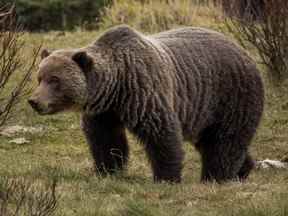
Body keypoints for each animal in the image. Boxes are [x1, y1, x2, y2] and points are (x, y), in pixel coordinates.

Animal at [28, 25, 264, 184]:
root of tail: (244, 51)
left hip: (230, 95)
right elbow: (105, 141)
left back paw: (215, 177)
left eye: (55, 80)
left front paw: (166, 177)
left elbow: (161, 135)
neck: (115, 87)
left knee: (225, 140)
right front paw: (106, 170)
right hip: (204, 113)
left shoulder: (144, 93)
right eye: (39, 77)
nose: (34, 101)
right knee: (214, 140)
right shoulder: (104, 112)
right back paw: (243, 169)